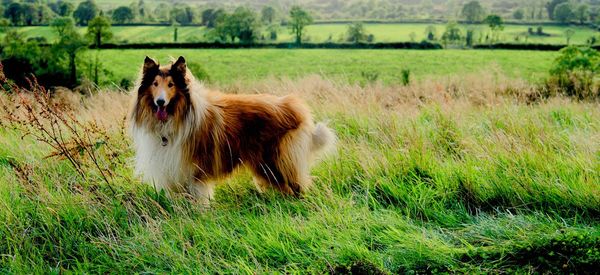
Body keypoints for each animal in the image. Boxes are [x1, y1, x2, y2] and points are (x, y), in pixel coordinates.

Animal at [129, 56, 336, 205]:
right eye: (155, 84)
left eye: (171, 85)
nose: (160, 102)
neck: (176, 117)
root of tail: (294, 106)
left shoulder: (196, 171)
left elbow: (199, 199)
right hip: (265, 167)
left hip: (275, 162)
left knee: (296, 187)